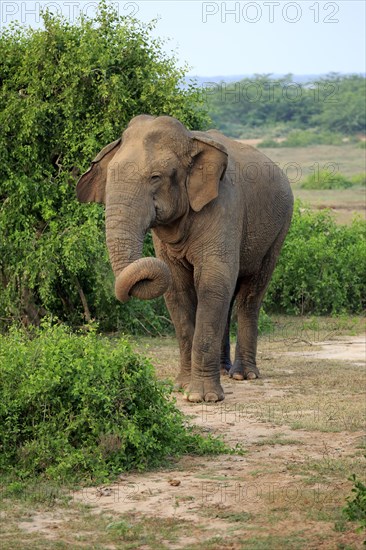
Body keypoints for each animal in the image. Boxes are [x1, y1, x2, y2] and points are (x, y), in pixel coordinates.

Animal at [77, 114, 294, 404]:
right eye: (109, 177)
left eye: (155, 177)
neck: (191, 140)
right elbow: (178, 288)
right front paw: (181, 387)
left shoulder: (225, 206)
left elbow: (213, 281)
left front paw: (203, 398)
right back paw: (224, 371)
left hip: (280, 228)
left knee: (251, 292)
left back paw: (243, 375)